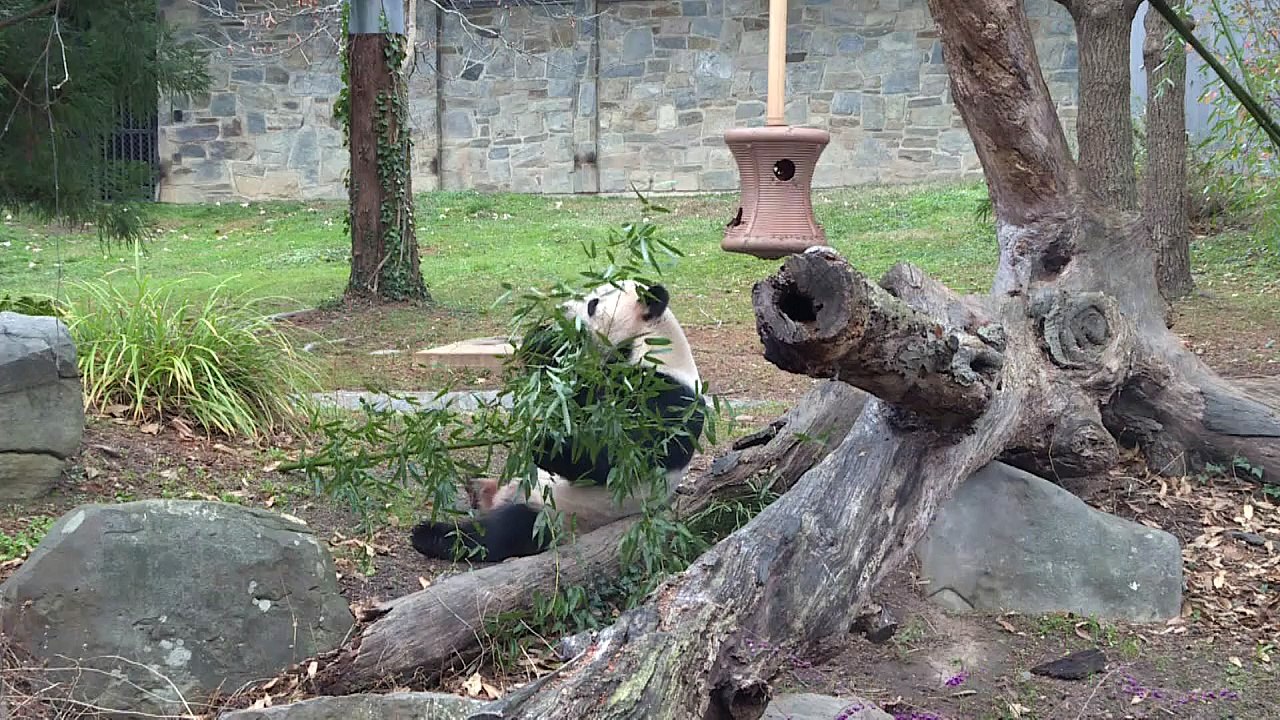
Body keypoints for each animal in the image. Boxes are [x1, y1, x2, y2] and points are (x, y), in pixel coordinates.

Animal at [409, 280, 707, 563]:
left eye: (593, 304)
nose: (562, 310)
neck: (652, 343)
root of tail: (502, 497)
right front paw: (543, 342)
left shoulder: (664, 399)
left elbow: (614, 455)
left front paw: (542, 441)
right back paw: (475, 487)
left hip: (556, 515)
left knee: (502, 532)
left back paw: (430, 534)